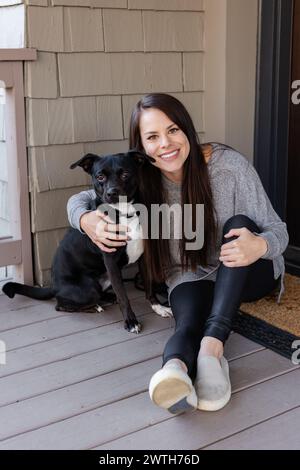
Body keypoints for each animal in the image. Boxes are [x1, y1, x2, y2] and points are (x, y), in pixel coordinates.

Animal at [2, 151, 172, 334]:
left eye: (125, 174)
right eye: (100, 176)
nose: (112, 193)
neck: (123, 213)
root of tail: (54, 286)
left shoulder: (144, 256)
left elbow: (149, 285)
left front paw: (157, 306)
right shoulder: (111, 261)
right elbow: (123, 296)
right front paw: (131, 321)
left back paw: (107, 297)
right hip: (89, 288)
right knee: (60, 305)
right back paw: (94, 306)